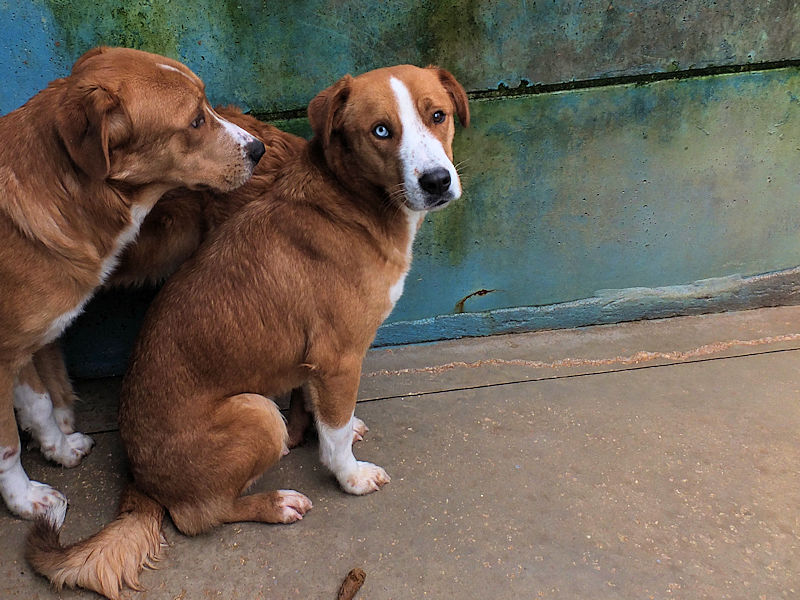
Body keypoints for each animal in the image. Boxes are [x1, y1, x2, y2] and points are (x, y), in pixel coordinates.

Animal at [0, 46, 265, 523]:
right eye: (195, 121)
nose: (259, 149)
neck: (66, 192)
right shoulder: (2, 354)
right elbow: (8, 446)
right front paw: (25, 499)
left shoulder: (23, 343)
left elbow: (39, 404)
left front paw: (58, 450)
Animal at [26, 64, 469, 599]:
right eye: (381, 131)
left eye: (438, 115)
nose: (437, 180)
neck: (351, 198)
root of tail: (139, 480)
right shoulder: (339, 358)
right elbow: (334, 435)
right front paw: (349, 476)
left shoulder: (315, 364)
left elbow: (319, 409)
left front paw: (328, 428)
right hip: (256, 414)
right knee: (198, 517)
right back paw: (275, 504)